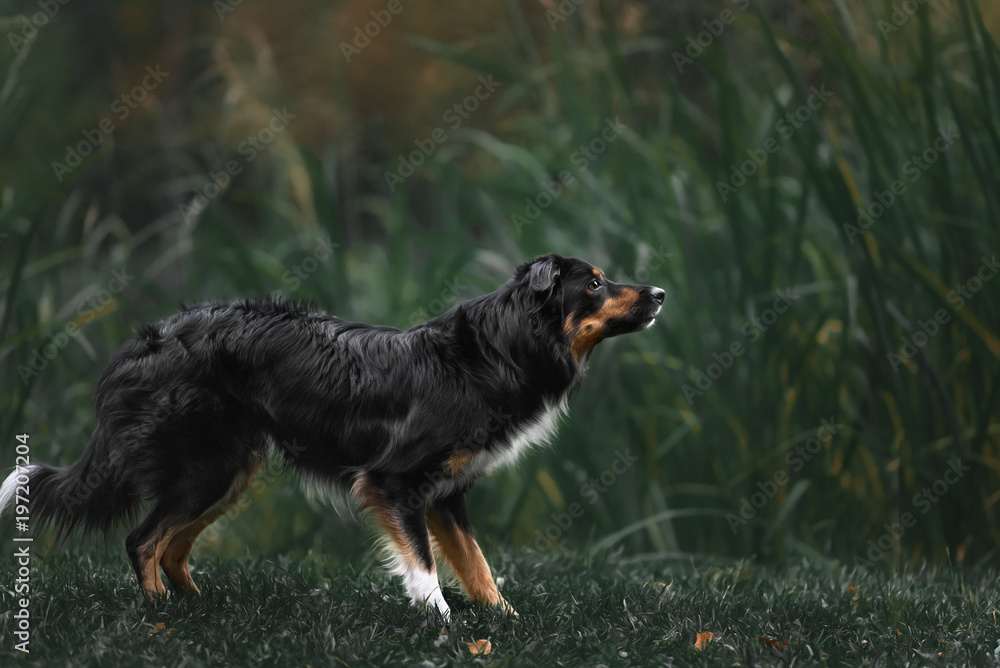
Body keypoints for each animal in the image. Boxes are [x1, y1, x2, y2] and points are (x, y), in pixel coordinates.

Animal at [0, 253, 664, 620]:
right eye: (595, 284)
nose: (659, 292)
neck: (498, 351)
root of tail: (139, 344)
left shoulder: (448, 494)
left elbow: (478, 566)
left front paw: (507, 621)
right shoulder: (395, 482)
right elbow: (425, 567)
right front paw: (442, 624)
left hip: (230, 471)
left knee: (169, 545)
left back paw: (198, 610)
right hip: (207, 467)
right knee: (143, 540)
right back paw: (162, 617)